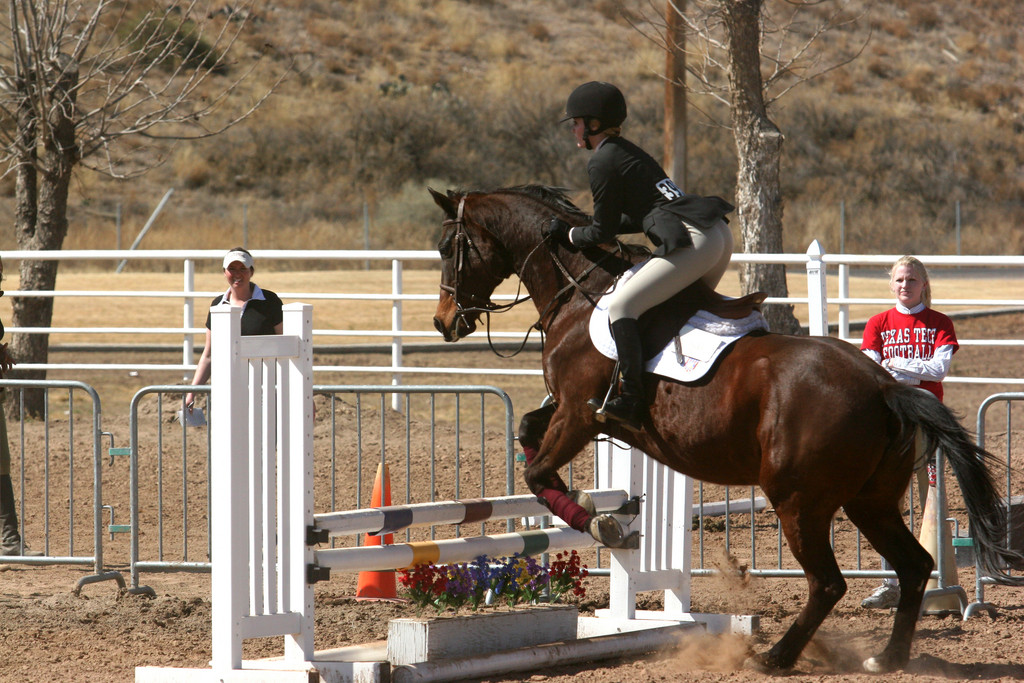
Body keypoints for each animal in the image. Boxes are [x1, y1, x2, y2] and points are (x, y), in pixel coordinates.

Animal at [428, 185, 1019, 671]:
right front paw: (590, 511)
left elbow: (539, 475)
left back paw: (775, 658)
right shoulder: (567, 412)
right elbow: (529, 435)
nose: (443, 322)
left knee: (828, 582)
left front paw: (600, 523)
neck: (580, 289)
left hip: (798, 500)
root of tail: (884, 386)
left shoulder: (579, 413)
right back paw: (887, 658)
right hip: (869, 500)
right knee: (915, 566)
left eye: (447, 246)